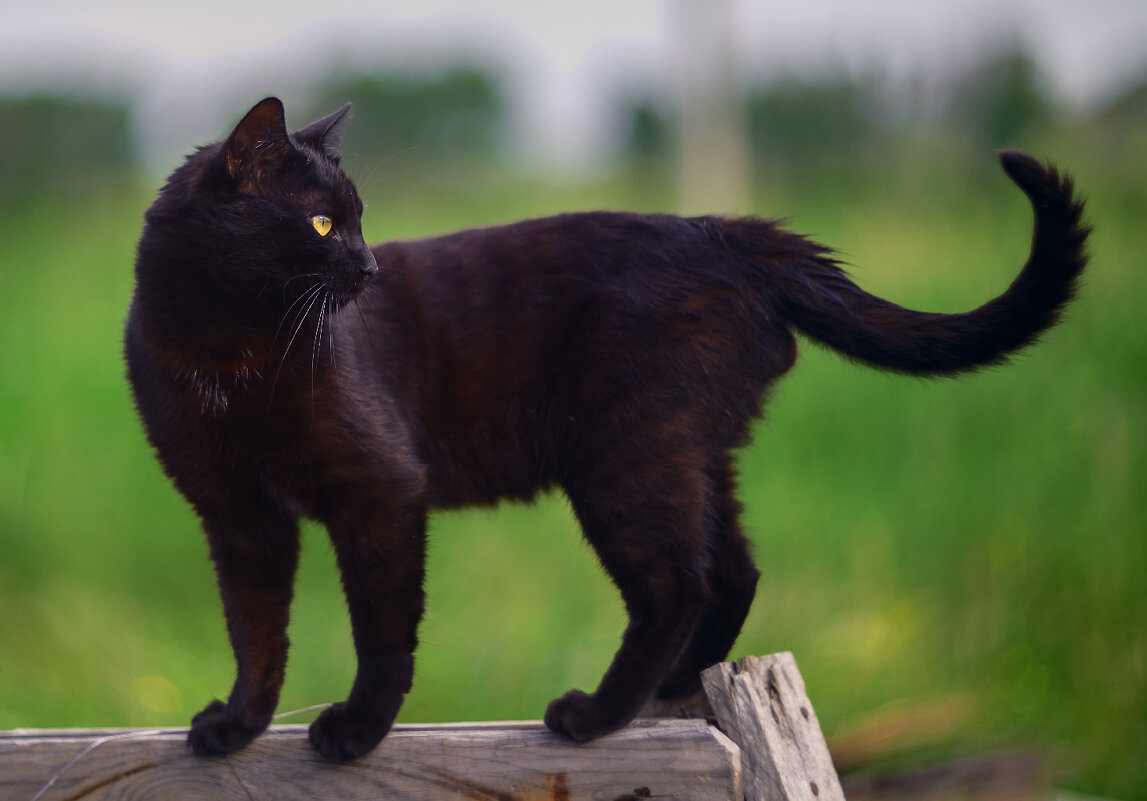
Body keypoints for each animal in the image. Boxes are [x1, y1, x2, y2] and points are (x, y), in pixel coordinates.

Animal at [125, 96, 1091, 757]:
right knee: (732, 569)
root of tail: (724, 232)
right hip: (690, 452)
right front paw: (237, 725)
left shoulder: (380, 490)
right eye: (324, 221)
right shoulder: (236, 514)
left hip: (623, 455)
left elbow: (380, 625)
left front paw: (356, 731)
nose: (366, 268)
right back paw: (671, 689)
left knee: (676, 582)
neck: (226, 352)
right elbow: (254, 626)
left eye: (357, 222)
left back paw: (594, 714)